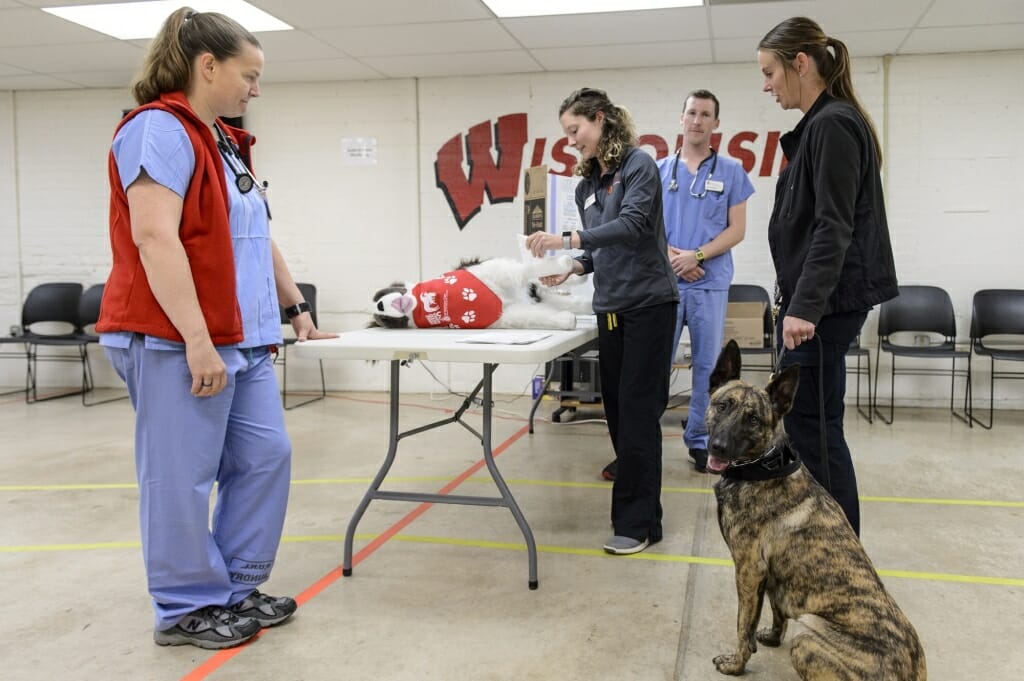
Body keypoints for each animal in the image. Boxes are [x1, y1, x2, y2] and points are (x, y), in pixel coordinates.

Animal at [704, 337, 929, 675]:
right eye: (722, 406)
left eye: (753, 419)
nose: (718, 447)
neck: (762, 466)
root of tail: (913, 670)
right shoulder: (770, 578)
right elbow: (776, 611)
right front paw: (772, 637)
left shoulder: (748, 570)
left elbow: (743, 625)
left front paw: (736, 664)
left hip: (807, 638)